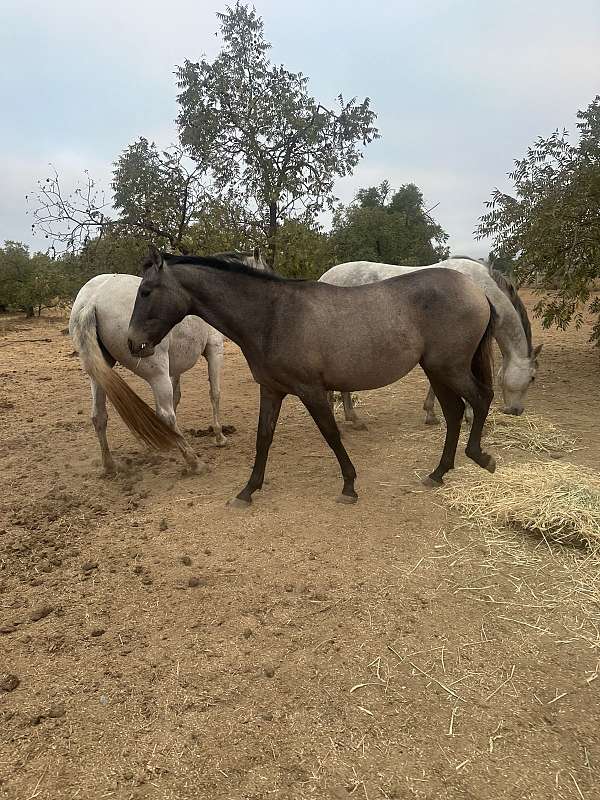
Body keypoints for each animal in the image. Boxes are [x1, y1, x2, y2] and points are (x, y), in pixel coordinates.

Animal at [67, 248, 270, 476]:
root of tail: (92, 301)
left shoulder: (175, 368)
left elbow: (177, 396)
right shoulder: (214, 350)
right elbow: (214, 394)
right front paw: (219, 437)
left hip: (101, 374)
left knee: (99, 416)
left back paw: (111, 465)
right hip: (156, 375)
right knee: (166, 415)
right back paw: (194, 462)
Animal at [123, 248, 496, 506]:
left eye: (146, 291)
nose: (132, 342)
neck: (272, 316)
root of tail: (477, 291)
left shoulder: (312, 391)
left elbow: (331, 434)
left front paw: (349, 486)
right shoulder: (271, 390)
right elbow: (263, 438)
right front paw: (248, 490)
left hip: (449, 368)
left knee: (481, 399)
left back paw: (481, 457)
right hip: (436, 370)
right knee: (454, 413)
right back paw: (438, 473)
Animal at [322, 260, 540, 428]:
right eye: (532, 378)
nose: (516, 410)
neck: (480, 289)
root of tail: (325, 277)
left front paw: (431, 413)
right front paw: (470, 415)